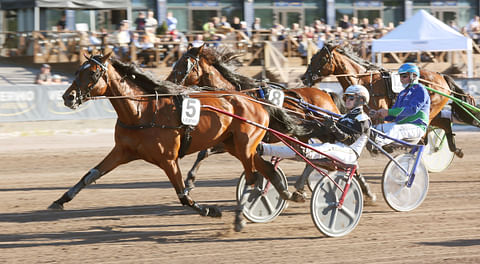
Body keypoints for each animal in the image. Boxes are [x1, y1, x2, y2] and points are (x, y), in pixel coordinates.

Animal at [47, 53, 316, 231]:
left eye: (92, 73)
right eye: (76, 71)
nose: (68, 96)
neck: (142, 111)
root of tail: (255, 100)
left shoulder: (168, 158)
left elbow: (182, 195)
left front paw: (209, 209)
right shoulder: (122, 151)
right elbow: (90, 175)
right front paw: (59, 201)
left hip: (246, 144)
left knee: (253, 177)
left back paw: (243, 216)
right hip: (237, 147)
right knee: (267, 170)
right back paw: (288, 194)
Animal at [167, 44, 344, 192]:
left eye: (184, 65)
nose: (167, 83)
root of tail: (325, 93)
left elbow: (205, 152)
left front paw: (189, 180)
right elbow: (203, 153)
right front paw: (189, 181)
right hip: (302, 135)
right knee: (311, 155)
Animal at [300, 42, 476, 158]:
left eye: (321, 59)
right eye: (312, 58)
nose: (304, 78)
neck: (364, 82)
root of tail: (442, 77)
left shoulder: (379, 113)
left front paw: (387, 147)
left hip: (429, 111)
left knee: (425, 132)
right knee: (443, 123)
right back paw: (455, 150)